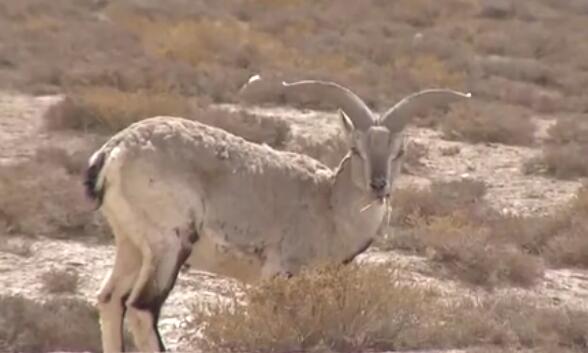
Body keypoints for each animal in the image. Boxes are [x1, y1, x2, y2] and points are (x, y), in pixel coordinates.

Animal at [85, 75, 470, 352]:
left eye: (398, 152)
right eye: (355, 148)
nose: (379, 186)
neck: (329, 205)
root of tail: (114, 151)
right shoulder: (280, 272)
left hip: (131, 243)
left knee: (109, 300)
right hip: (170, 241)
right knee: (141, 308)